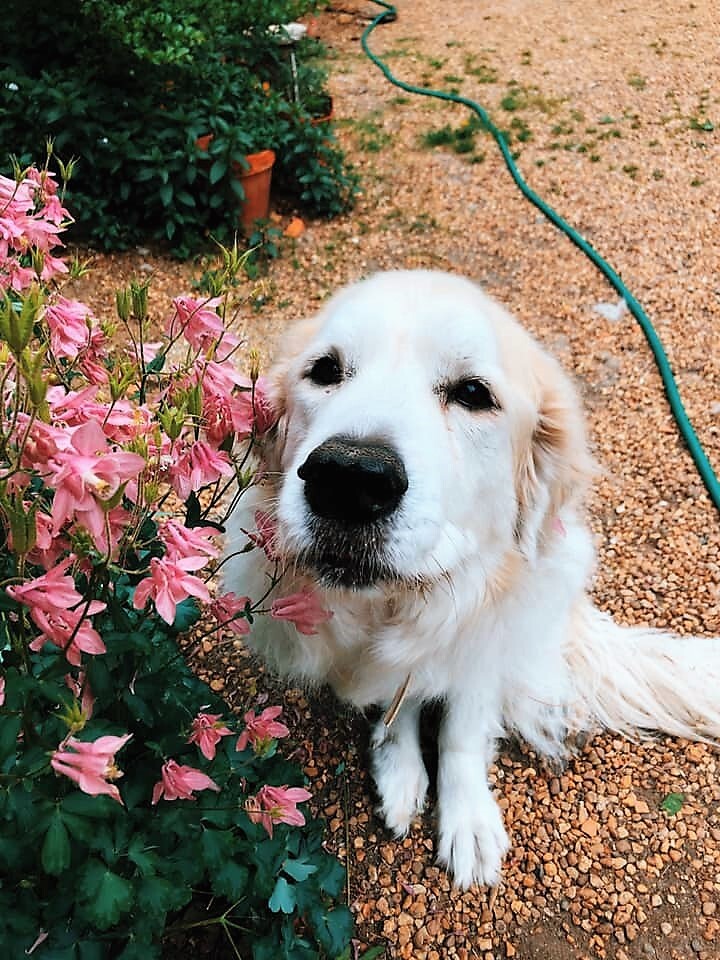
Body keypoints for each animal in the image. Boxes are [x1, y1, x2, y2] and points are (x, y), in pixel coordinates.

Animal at [225, 268, 720, 884]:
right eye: (325, 371)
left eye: (472, 394)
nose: (348, 477)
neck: (401, 605)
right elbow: (403, 704)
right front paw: (399, 766)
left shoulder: (483, 647)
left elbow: (460, 732)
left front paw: (469, 822)